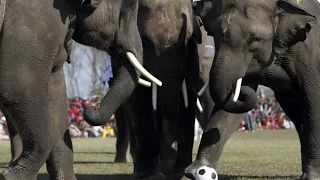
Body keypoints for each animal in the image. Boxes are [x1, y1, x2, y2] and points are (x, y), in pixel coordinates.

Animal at [0, 0, 162, 179]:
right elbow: (17, 85)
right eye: (131, 4)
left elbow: (56, 93)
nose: (90, 109)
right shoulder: (33, 18)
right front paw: (12, 176)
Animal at [184, 0, 320, 179]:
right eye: (213, 33)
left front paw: (312, 177)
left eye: (254, 38)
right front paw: (197, 170)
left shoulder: (311, 55)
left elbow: (314, 103)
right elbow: (228, 112)